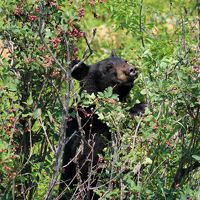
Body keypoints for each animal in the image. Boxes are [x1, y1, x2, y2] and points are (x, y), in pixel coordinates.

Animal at [59, 50, 142, 200]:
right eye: (108, 67)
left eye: (125, 61)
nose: (131, 70)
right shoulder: (84, 133)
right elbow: (90, 158)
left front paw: (138, 109)